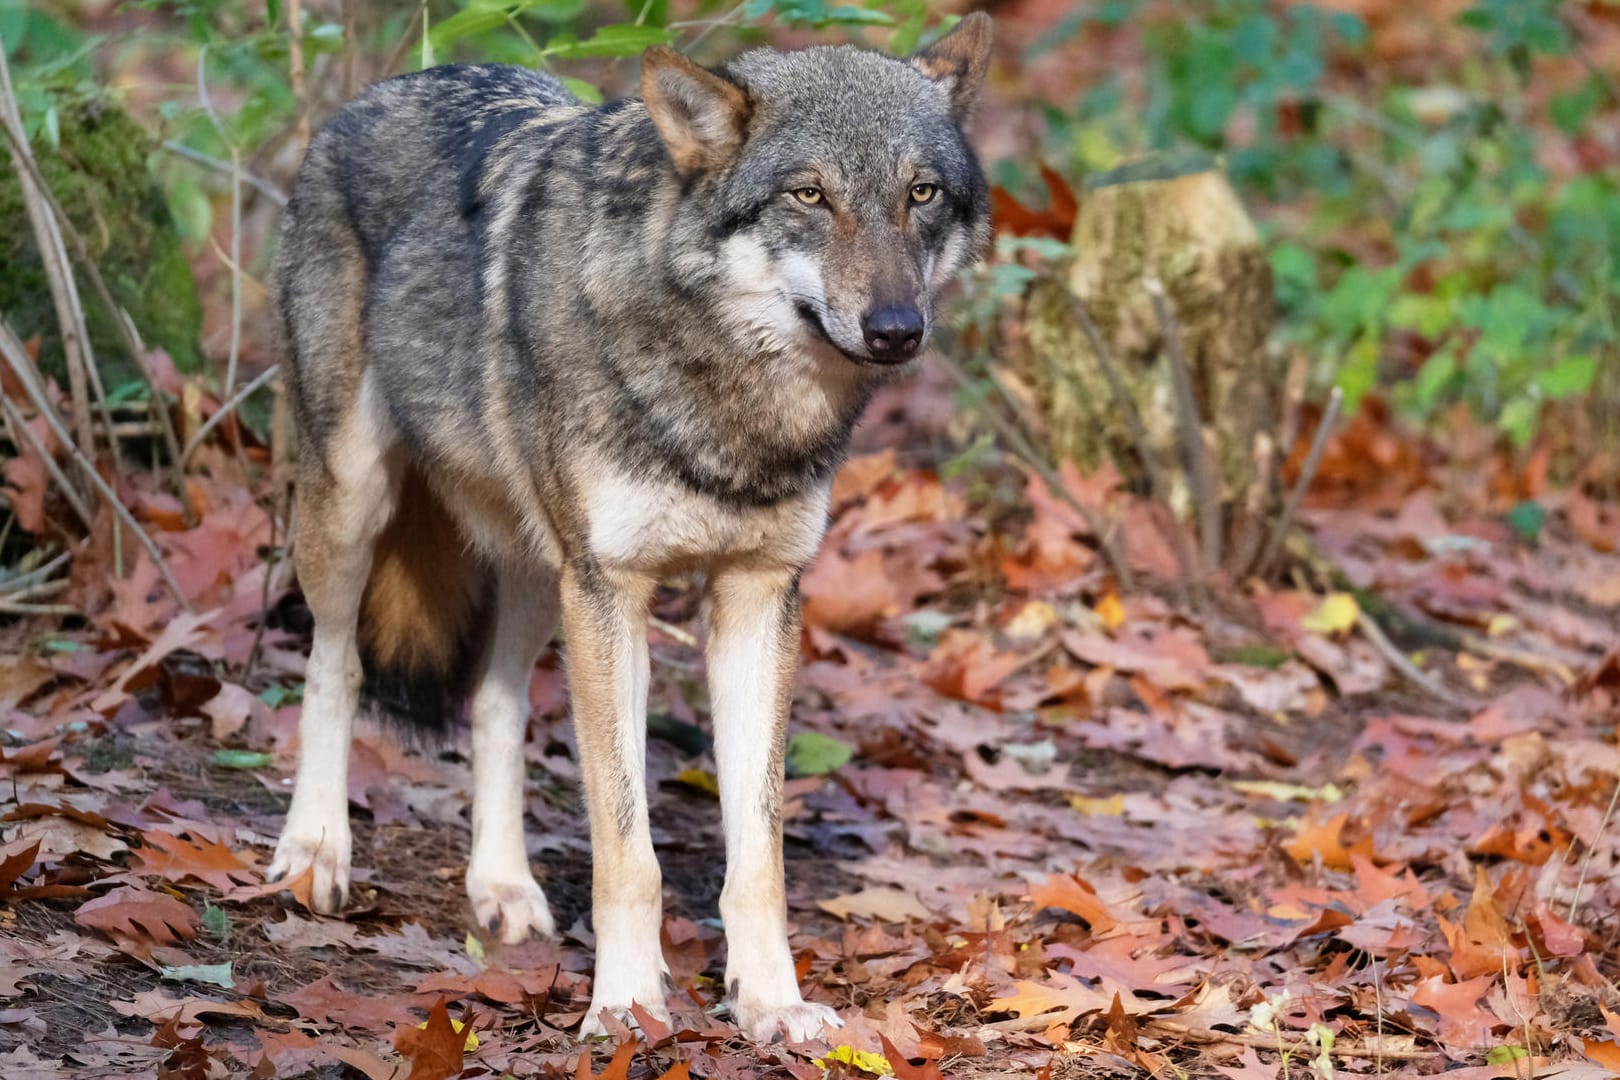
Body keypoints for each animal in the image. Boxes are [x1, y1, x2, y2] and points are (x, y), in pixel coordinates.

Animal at [267, 16, 991, 1042]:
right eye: (810, 194)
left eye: (919, 193)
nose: (896, 328)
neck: (732, 405)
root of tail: (384, 86)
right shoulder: (615, 592)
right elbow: (627, 847)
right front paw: (628, 1004)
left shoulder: (754, 598)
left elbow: (757, 854)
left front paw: (773, 1003)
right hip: (358, 505)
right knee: (336, 664)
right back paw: (316, 851)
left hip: (541, 570)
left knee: (495, 704)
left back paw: (502, 887)